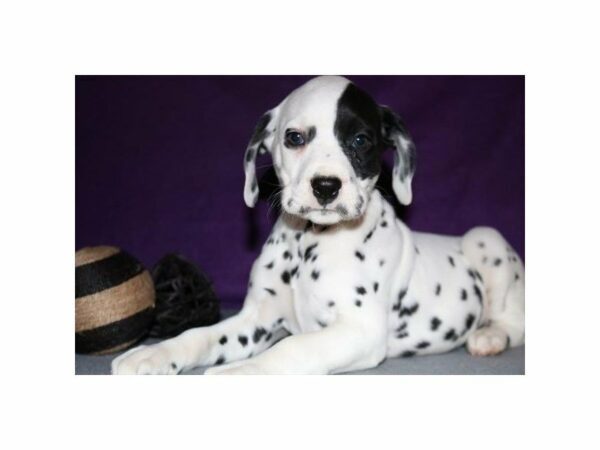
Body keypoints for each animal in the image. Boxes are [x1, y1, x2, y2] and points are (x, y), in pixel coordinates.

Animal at [112, 75, 524, 374]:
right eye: (295, 137)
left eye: (360, 140)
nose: (326, 186)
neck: (307, 244)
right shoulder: (255, 319)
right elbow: (201, 335)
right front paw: (153, 354)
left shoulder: (359, 330)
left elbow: (290, 348)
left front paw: (240, 374)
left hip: (484, 239)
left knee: (515, 321)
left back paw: (489, 336)